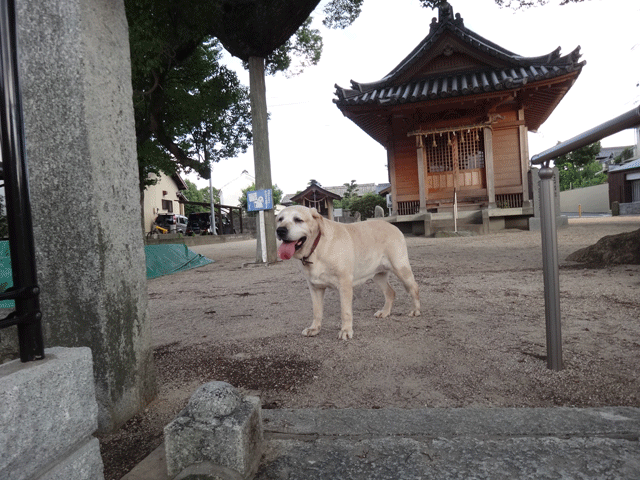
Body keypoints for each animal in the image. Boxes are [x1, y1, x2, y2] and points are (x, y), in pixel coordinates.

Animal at [276, 204, 420, 340]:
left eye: (298, 219)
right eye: (280, 219)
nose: (280, 230)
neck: (317, 248)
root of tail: (392, 226)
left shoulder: (344, 284)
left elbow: (345, 312)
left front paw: (345, 330)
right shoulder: (315, 287)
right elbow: (317, 311)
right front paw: (314, 328)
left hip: (401, 269)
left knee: (414, 288)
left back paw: (415, 310)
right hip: (377, 275)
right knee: (390, 292)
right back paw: (385, 312)